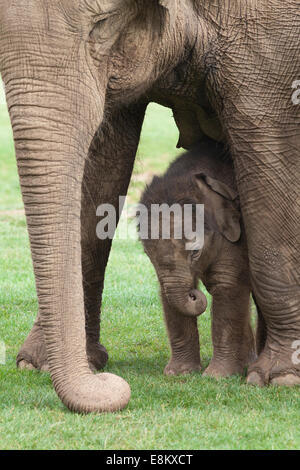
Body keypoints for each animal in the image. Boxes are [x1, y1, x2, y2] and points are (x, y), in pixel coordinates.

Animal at [140, 140, 255, 378]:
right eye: (147, 253)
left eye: (195, 252)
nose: (194, 294)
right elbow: (167, 294)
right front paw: (179, 373)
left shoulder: (237, 235)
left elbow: (226, 284)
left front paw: (217, 376)